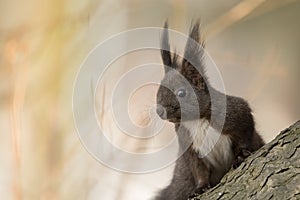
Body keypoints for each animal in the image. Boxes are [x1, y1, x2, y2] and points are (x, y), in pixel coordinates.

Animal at [154, 20, 264, 200]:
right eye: (158, 91)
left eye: (181, 93)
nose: (159, 111)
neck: (196, 121)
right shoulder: (190, 147)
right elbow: (199, 170)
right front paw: (201, 187)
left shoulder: (235, 113)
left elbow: (245, 133)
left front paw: (241, 154)